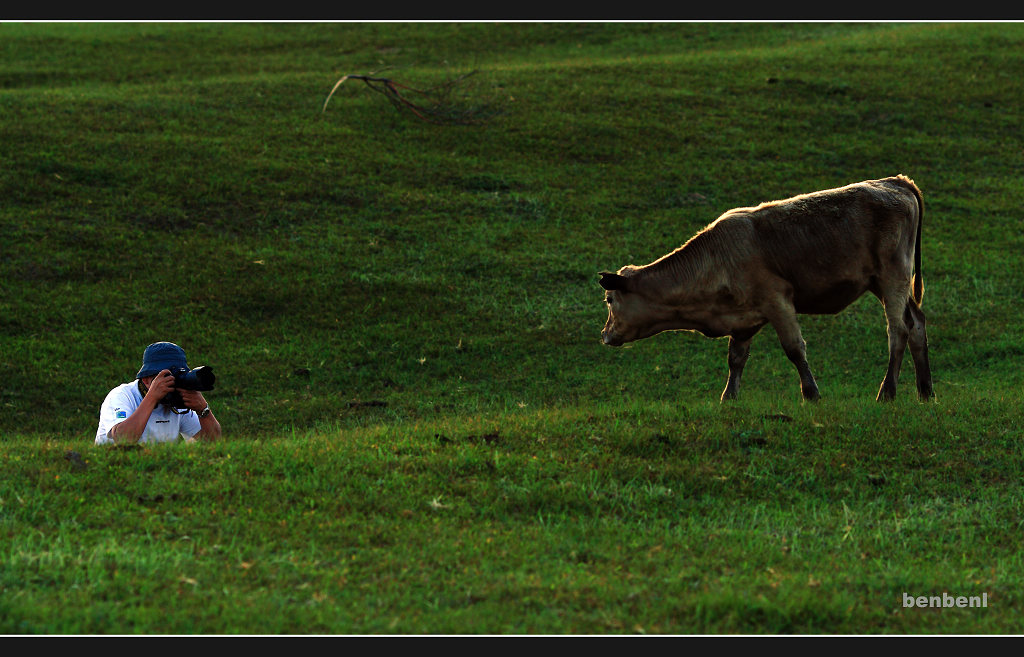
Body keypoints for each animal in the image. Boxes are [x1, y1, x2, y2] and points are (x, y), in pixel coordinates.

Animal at [598, 172, 937, 399]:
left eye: (609, 300)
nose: (604, 334)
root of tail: (895, 181)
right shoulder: (742, 319)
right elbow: (735, 359)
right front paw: (729, 398)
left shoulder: (778, 301)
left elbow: (794, 349)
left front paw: (811, 394)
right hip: (885, 283)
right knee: (916, 324)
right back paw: (925, 392)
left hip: (892, 277)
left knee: (898, 330)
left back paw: (887, 392)